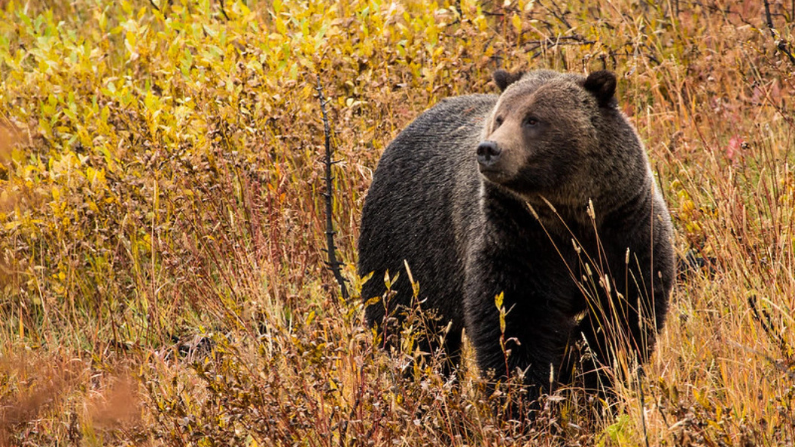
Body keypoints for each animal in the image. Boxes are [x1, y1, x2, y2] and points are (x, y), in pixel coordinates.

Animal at [358, 69, 675, 404]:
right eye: (500, 118)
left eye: (533, 119)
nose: (488, 149)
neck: (570, 218)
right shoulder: (518, 239)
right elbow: (516, 324)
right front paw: (526, 397)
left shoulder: (625, 234)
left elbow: (622, 319)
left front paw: (596, 388)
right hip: (407, 251)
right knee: (414, 332)